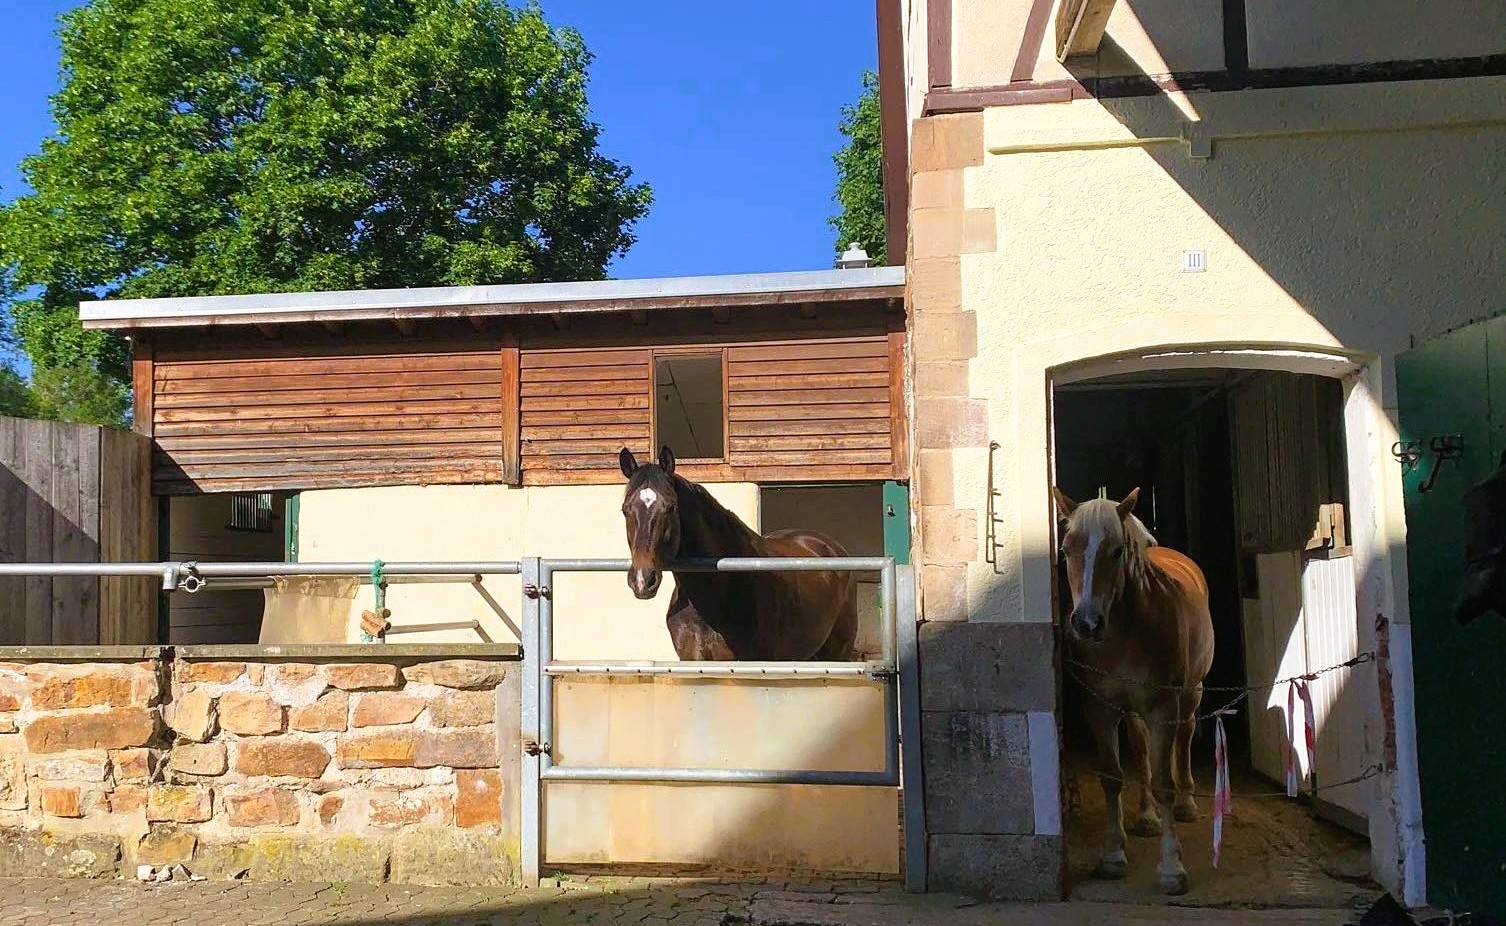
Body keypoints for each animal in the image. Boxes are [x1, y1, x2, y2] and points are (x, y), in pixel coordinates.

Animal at [1053, 486, 1215, 896]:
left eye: (1116, 551)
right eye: (1066, 549)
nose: (1086, 624)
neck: (1124, 635)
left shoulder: (1162, 707)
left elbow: (1164, 783)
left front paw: (1172, 868)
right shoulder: (1101, 709)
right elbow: (1113, 778)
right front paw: (1112, 856)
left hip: (1191, 693)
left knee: (1185, 737)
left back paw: (1187, 805)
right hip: (1133, 712)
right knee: (1141, 751)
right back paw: (1146, 817)